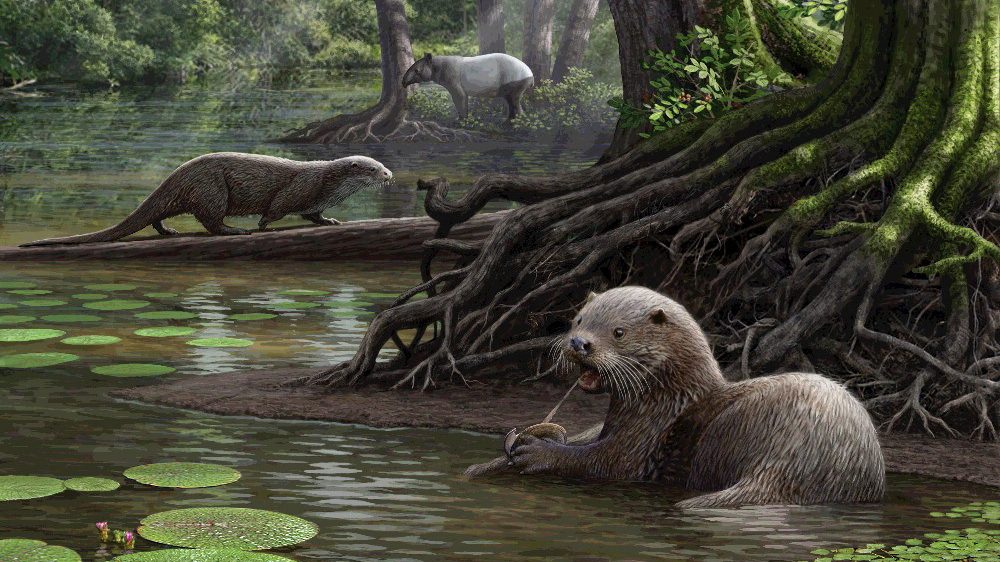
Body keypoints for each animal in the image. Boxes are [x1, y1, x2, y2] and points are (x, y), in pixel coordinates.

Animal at [20, 153, 392, 247]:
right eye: (374, 168)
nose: (389, 175)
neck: (327, 181)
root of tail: (175, 176)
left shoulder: (316, 200)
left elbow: (314, 216)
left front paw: (330, 220)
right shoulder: (299, 188)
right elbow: (276, 208)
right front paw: (261, 225)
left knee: (158, 216)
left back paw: (169, 232)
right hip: (211, 190)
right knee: (211, 221)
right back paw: (236, 230)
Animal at [466, 287, 885, 508]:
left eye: (618, 332)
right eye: (579, 320)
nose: (579, 343)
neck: (669, 399)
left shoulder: (643, 441)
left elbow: (606, 463)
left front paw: (536, 451)